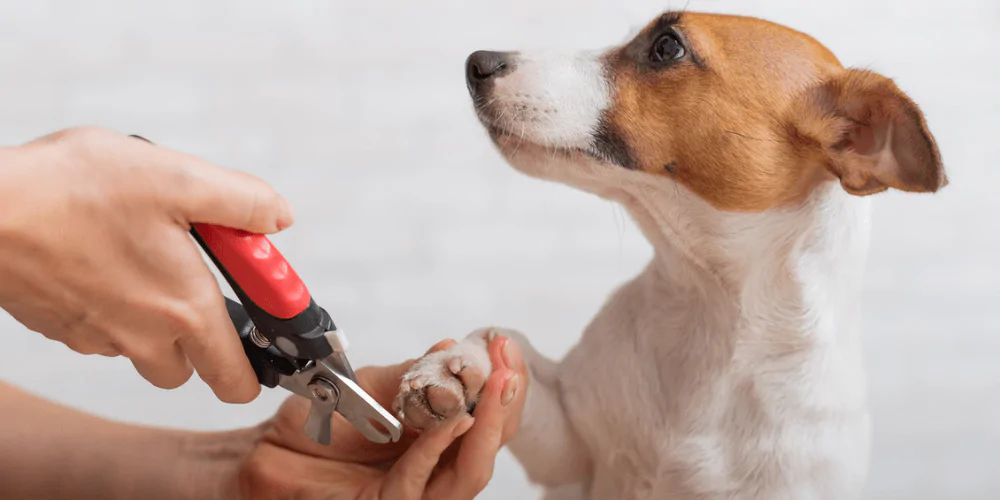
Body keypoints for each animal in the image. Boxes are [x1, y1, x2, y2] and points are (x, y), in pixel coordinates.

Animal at [390, 8, 944, 500]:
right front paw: (457, 365)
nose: (477, 62)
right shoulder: (569, 448)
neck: (710, 308)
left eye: (667, 47)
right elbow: (508, 344)